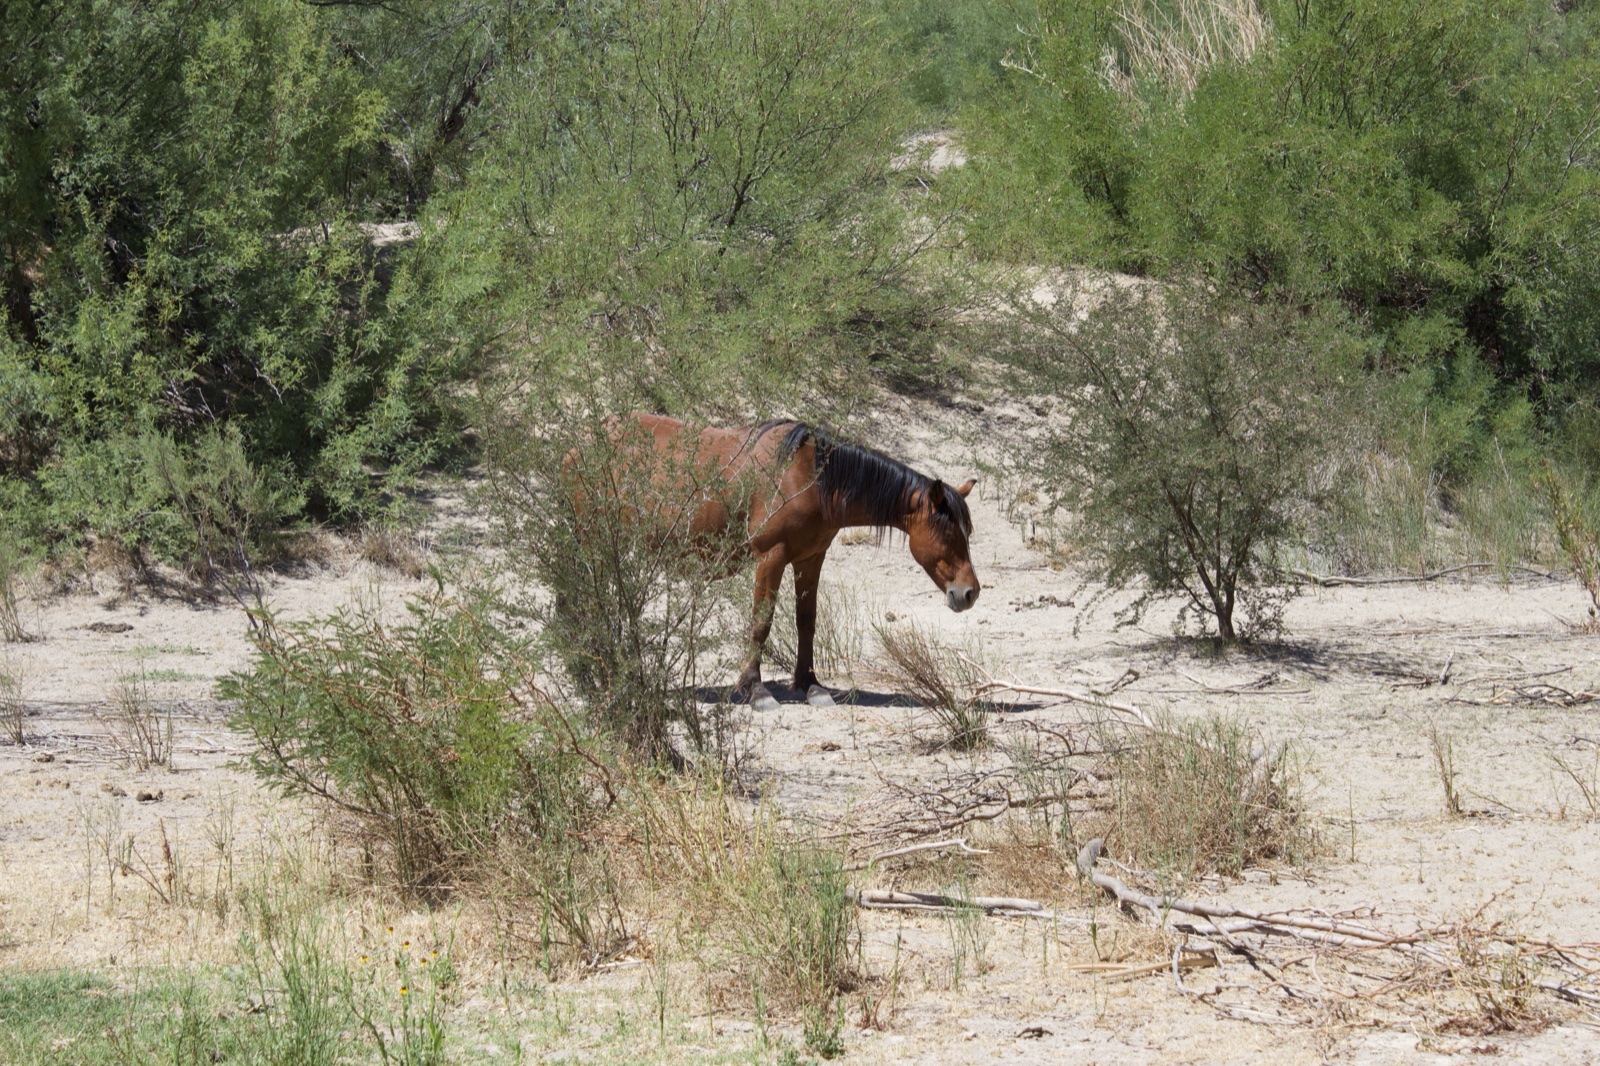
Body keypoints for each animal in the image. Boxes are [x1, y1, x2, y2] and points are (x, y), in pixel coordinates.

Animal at [613, 412, 980, 711]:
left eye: (968, 531)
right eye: (949, 533)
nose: (969, 593)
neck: (809, 479)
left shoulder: (810, 559)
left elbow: (806, 621)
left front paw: (810, 686)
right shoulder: (771, 558)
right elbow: (761, 623)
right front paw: (756, 690)